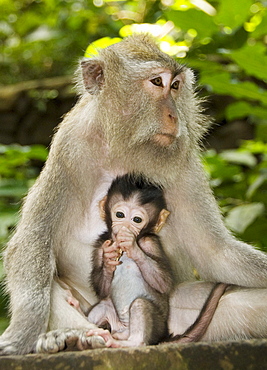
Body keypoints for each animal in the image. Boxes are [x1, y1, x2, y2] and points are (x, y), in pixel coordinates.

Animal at [87, 173, 173, 346]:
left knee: (141, 304)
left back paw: (124, 342)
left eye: (137, 220)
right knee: (103, 305)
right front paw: (108, 261)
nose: (125, 227)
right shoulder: (100, 245)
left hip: (158, 328)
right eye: (120, 215)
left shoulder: (150, 242)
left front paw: (132, 246)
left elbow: (164, 284)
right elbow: (102, 291)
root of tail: (124, 331)